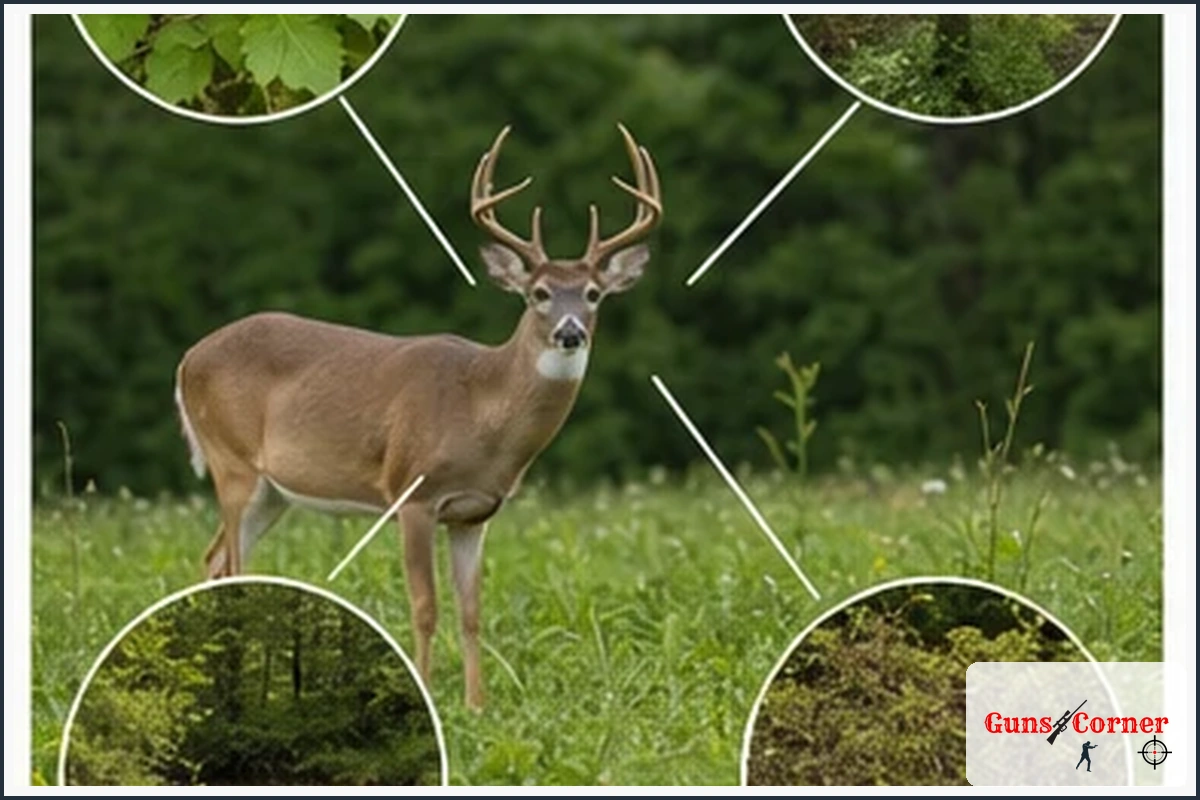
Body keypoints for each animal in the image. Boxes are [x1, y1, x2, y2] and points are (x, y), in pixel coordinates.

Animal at [173, 124, 662, 709]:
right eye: (539, 293)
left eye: (593, 294)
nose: (571, 333)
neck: (481, 410)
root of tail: (187, 358)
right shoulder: (413, 494)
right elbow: (425, 607)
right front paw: (426, 692)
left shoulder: (475, 513)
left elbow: (472, 612)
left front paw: (478, 706)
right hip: (232, 462)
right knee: (232, 565)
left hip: (273, 492)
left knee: (214, 561)